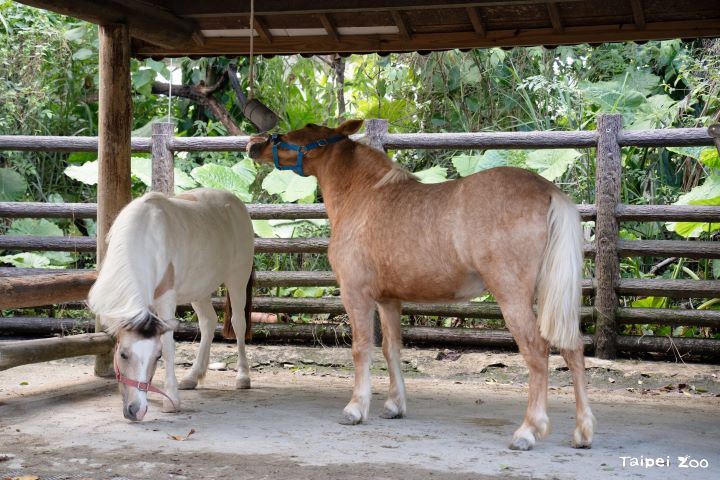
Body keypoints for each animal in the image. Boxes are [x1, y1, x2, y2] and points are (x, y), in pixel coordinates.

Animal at [88, 188, 255, 421]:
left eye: (156, 356)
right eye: (123, 354)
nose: (136, 410)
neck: (145, 238)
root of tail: (236, 202)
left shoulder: (166, 300)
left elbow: (169, 347)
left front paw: (171, 400)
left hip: (238, 278)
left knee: (238, 323)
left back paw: (243, 377)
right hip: (200, 289)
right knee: (208, 322)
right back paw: (193, 377)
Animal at [247, 120, 595, 450]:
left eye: (301, 133)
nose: (256, 144)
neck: (364, 198)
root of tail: (548, 191)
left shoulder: (355, 294)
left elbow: (361, 348)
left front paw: (356, 408)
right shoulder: (389, 300)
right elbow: (391, 348)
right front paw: (394, 405)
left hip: (513, 297)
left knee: (537, 351)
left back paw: (528, 431)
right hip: (551, 296)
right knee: (573, 348)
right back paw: (582, 433)